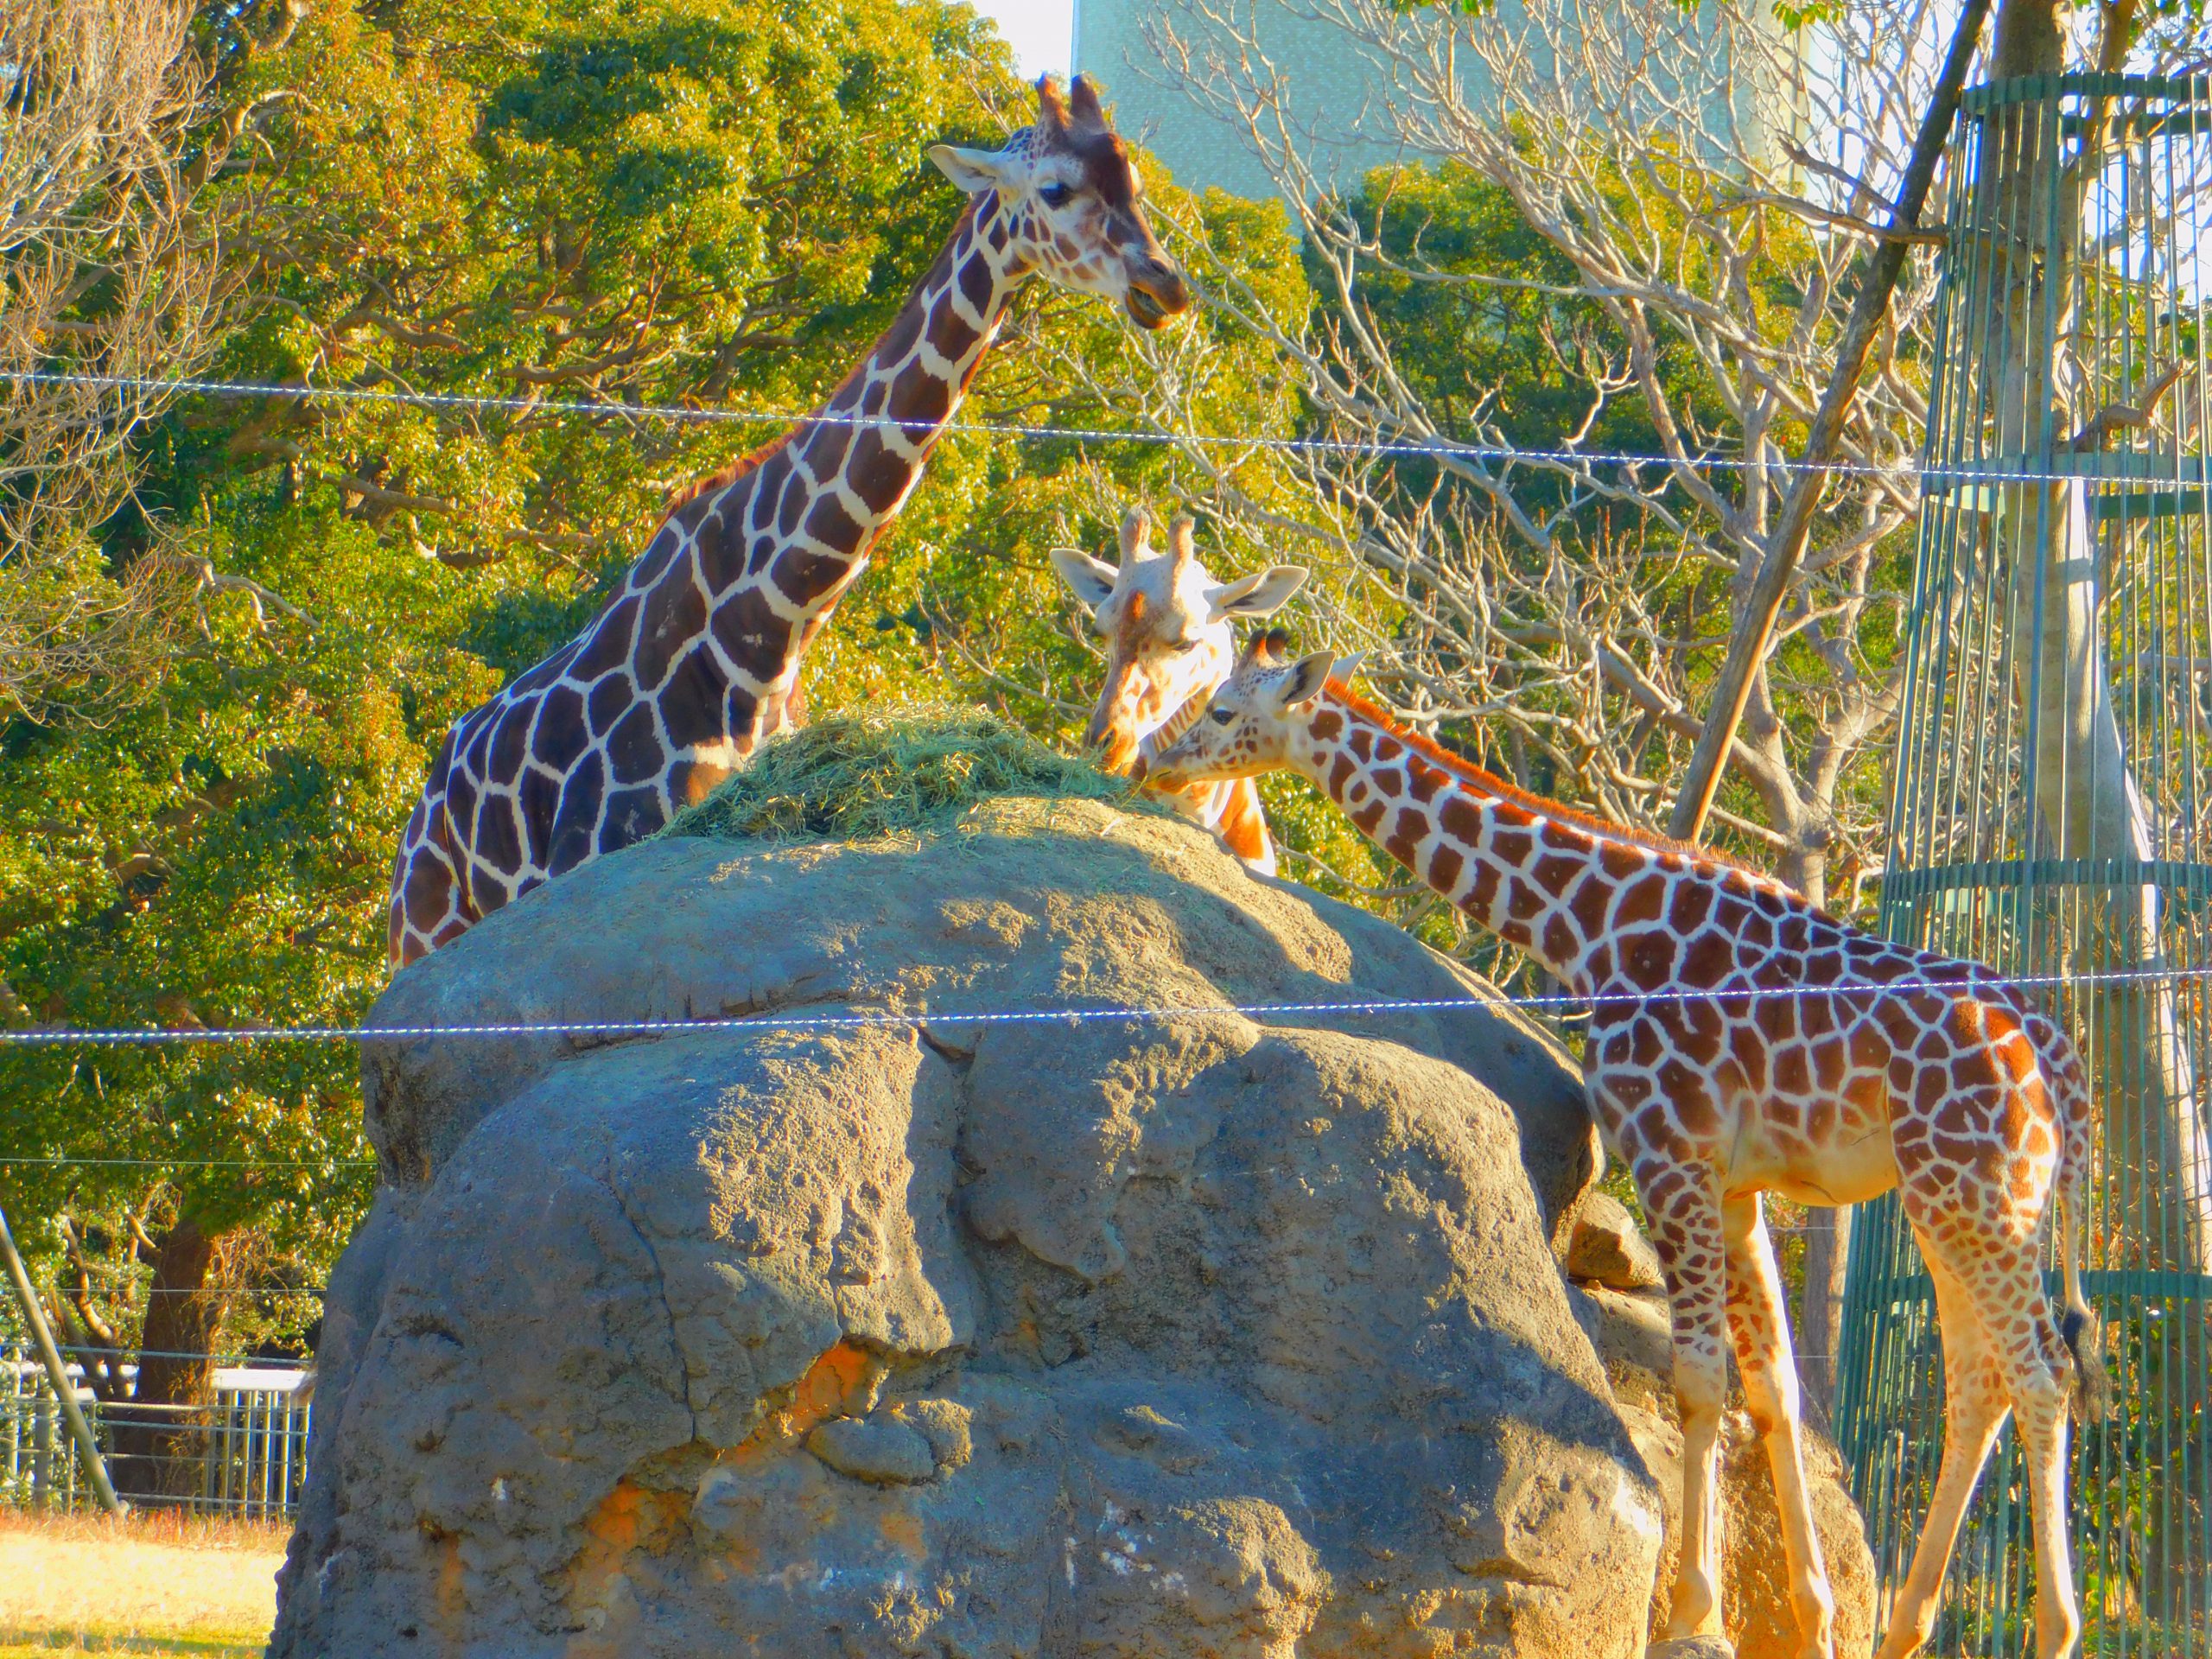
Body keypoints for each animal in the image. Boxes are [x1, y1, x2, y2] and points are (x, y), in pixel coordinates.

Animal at [396, 78, 1194, 969]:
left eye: (1135, 183)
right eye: (1054, 189)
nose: (1166, 286)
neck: (767, 632)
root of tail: (424, 804)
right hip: (424, 931)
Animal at [1150, 637, 2114, 1659]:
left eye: (1220, 709)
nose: (1159, 761)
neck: (1589, 927)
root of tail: (2056, 1055)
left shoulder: (1668, 1153)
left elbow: (1696, 1382)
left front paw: (1695, 1611)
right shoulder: (1735, 1186)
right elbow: (1771, 1389)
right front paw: (1809, 1617)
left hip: (1974, 1195)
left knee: (2041, 1374)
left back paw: (2055, 1629)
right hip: (1969, 1203)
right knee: (1980, 1384)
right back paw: (1903, 1628)